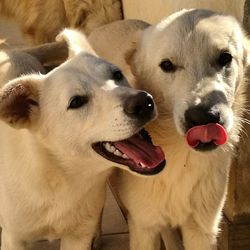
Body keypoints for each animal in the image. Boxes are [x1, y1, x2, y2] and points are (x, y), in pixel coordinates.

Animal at [0, 29, 166, 250]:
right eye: (76, 102)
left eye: (117, 74)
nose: (143, 102)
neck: (62, 179)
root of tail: (12, 52)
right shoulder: (14, 238)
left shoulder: (78, 237)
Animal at [89, 8, 250, 249]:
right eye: (167, 65)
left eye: (225, 58)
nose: (203, 117)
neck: (180, 158)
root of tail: (101, 27)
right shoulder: (143, 228)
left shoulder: (201, 229)